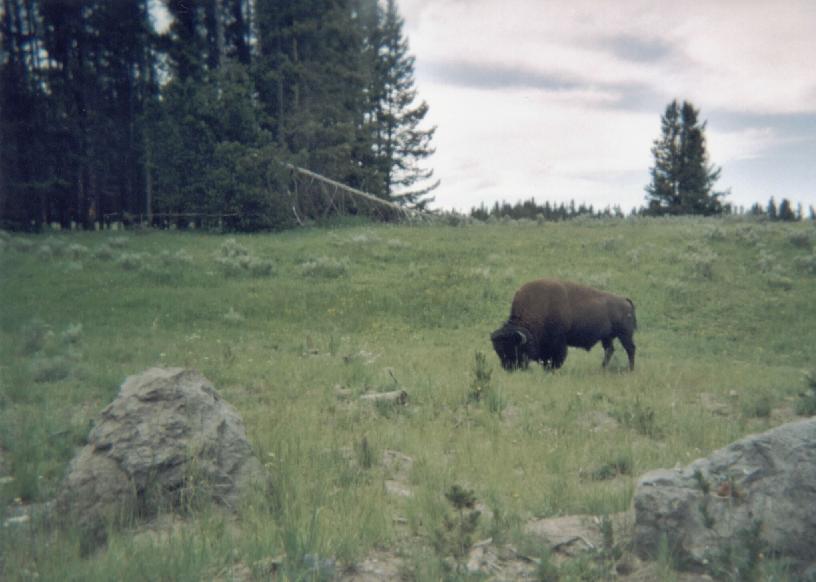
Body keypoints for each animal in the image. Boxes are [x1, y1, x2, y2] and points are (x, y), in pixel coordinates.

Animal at [490, 279, 637, 371]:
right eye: (498, 350)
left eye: (514, 348)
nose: (508, 368)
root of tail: (625, 300)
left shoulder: (558, 341)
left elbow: (557, 357)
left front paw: (552, 369)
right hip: (607, 337)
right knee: (609, 350)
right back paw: (602, 368)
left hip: (625, 334)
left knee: (630, 349)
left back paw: (630, 369)